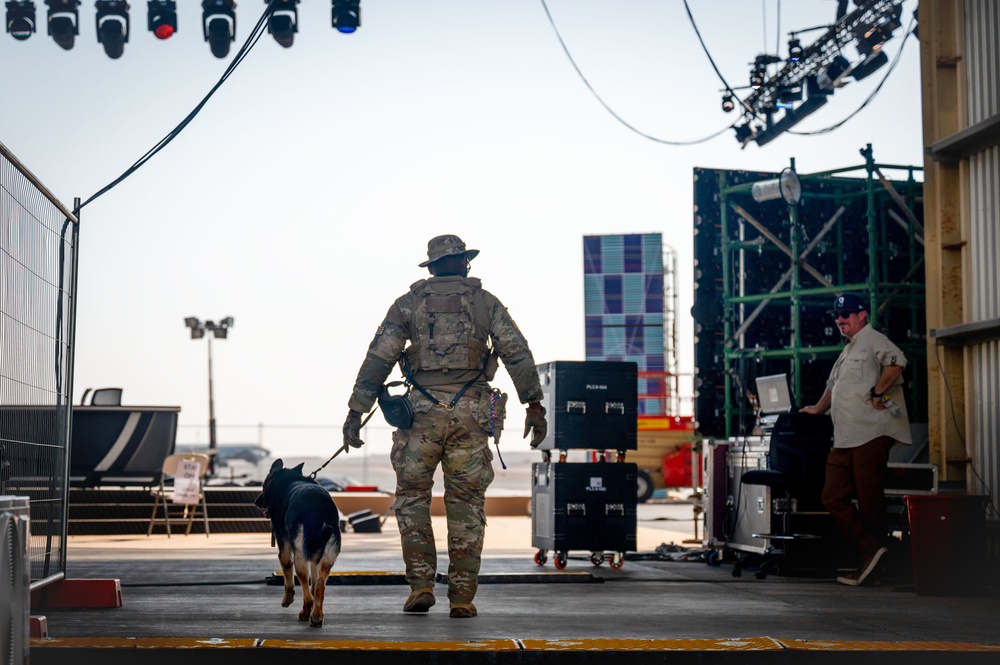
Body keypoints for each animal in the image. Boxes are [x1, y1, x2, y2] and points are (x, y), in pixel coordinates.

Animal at [254, 460, 344, 624]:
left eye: (263, 485)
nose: (256, 502)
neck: (289, 479)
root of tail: (318, 513)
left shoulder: (284, 546)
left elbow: (287, 572)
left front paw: (287, 599)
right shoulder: (315, 559)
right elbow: (314, 583)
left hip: (300, 557)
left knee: (306, 589)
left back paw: (305, 613)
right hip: (327, 557)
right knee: (319, 586)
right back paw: (317, 616)